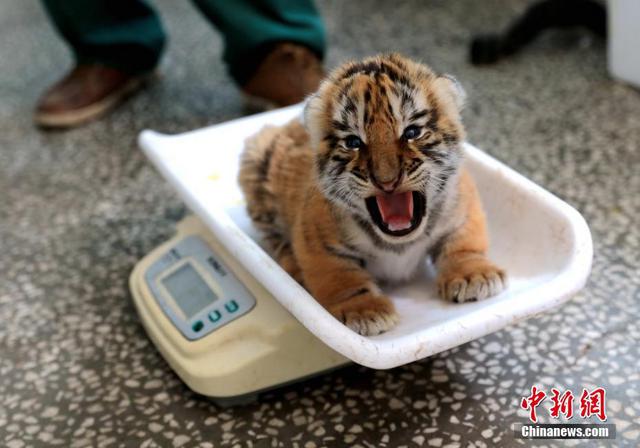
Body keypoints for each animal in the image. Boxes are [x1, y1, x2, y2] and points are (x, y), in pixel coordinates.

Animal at [238, 53, 506, 336]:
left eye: (412, 132)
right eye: (353, 142)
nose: (387, 181)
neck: (399, 242)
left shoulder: (463, 205)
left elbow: (463, 242)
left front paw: (474, 277)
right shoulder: (318, 240)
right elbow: (341, 276)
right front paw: (365, 311)